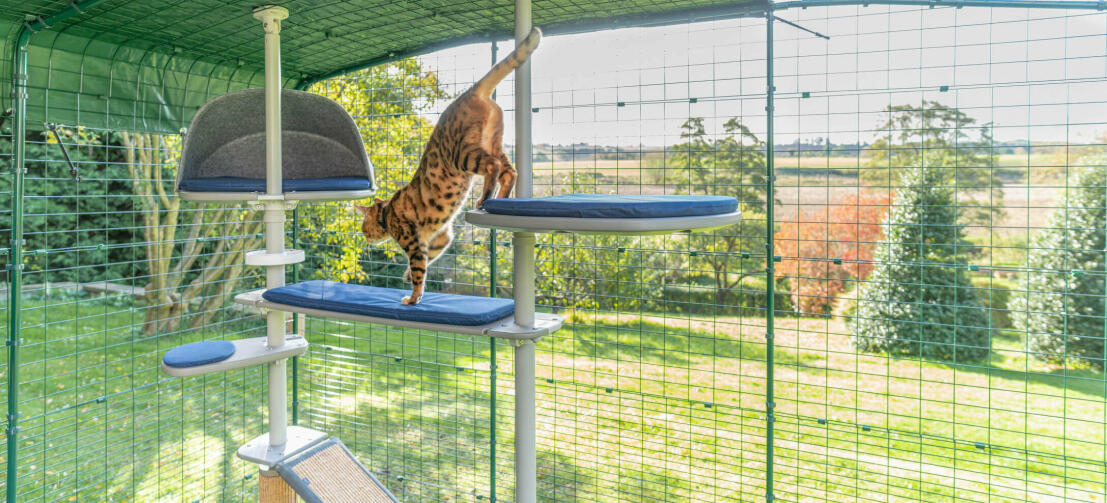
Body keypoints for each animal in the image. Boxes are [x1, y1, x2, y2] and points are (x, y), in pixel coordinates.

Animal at [356, 28, 542, 305]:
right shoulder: (440, 238)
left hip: (461, 154)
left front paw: (413, 298)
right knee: (510, 170)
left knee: (494, 166)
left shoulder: (414, 241)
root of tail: (469, 93)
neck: (387, 212)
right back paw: (500, 198)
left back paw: (485, 198)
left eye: (363, 227)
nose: (365, 237)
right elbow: (426, 262)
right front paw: (407, 277)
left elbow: (420, 270)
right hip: (494, 141)